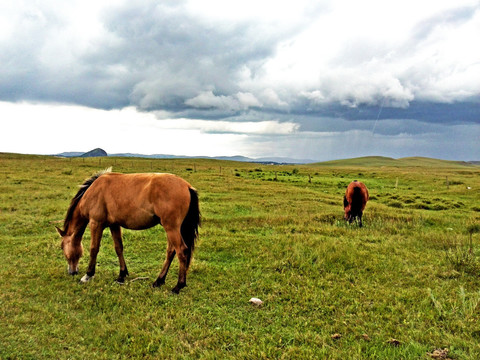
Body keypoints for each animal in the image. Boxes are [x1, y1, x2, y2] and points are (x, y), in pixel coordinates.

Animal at [55, 168, 199, 292]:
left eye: (62, 247)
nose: (71, 272)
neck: (93, 191)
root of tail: (187, 186)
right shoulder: (114, 225)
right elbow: (119, 248)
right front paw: (121, 275)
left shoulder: (96, 223)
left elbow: (94, 249)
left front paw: (88, 275)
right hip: (171, 229)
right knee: (170, 252)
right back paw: (158, 281)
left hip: (171, 228)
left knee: (181, 251)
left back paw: (178, 286)